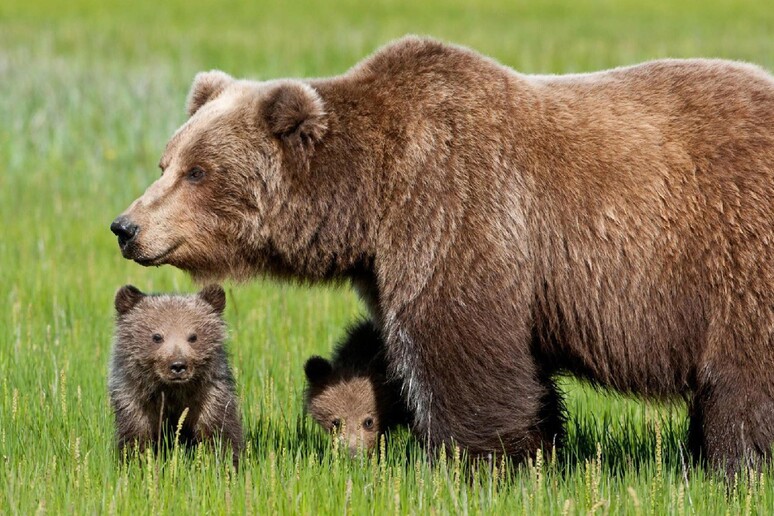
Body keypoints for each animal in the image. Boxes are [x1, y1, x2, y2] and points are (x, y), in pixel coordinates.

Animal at [109, 284, 242, 466]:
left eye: (193, 336)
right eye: (157, 336)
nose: (178, 365)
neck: (173, 391)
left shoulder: (209, 397)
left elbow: (220, 433)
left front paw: (226, 462)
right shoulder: (135, 400)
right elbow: (136, 438)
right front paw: (137, 463)